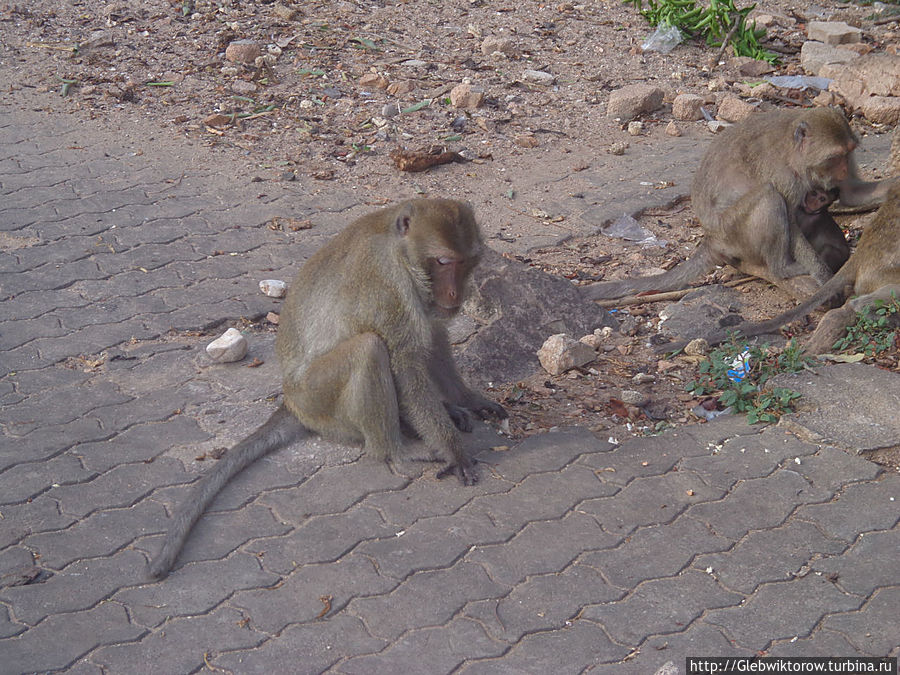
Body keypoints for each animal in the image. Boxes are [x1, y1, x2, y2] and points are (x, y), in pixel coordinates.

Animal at [151, 198, 510, 580]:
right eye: (443, 262)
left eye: (466, 261)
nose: (457, 293)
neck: (400, 250)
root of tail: (290, 401)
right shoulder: (387, 289)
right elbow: (405, 361)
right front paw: (453, 451)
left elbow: (434, 333)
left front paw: (468, 400)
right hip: (317, 396)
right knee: (369, 348)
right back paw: (396, 451)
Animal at [584, 107, 892, 302]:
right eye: (834, 157)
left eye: (848, 154)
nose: (844, 170)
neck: (796, 154)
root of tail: (712, 239)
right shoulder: (781, 173)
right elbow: (791, 221)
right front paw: (824, 277)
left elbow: (851, 194)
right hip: (734, 233)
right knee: (768, 197)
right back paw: (782, 268)